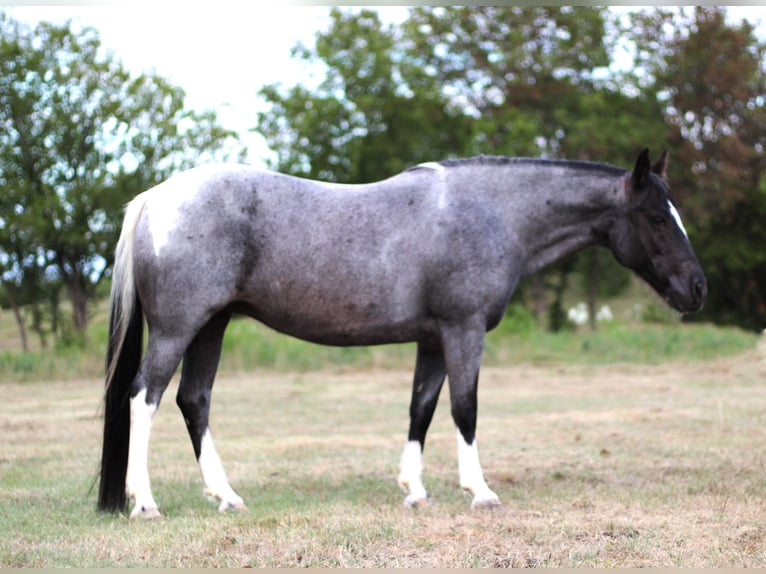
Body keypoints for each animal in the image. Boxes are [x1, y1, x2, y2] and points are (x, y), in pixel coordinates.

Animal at [97, 150, 708, 520]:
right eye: (657, 217)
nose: (697, 288)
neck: (491, 212)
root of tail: (155, 198)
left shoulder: (433, 340)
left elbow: (422, 408)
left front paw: (415, 490)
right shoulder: (463, 332)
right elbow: (465, 409)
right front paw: (480, 491)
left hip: (212, 326)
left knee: (193, 401)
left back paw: (226, 496)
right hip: (179, 329)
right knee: (144, 399)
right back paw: (144, 501)